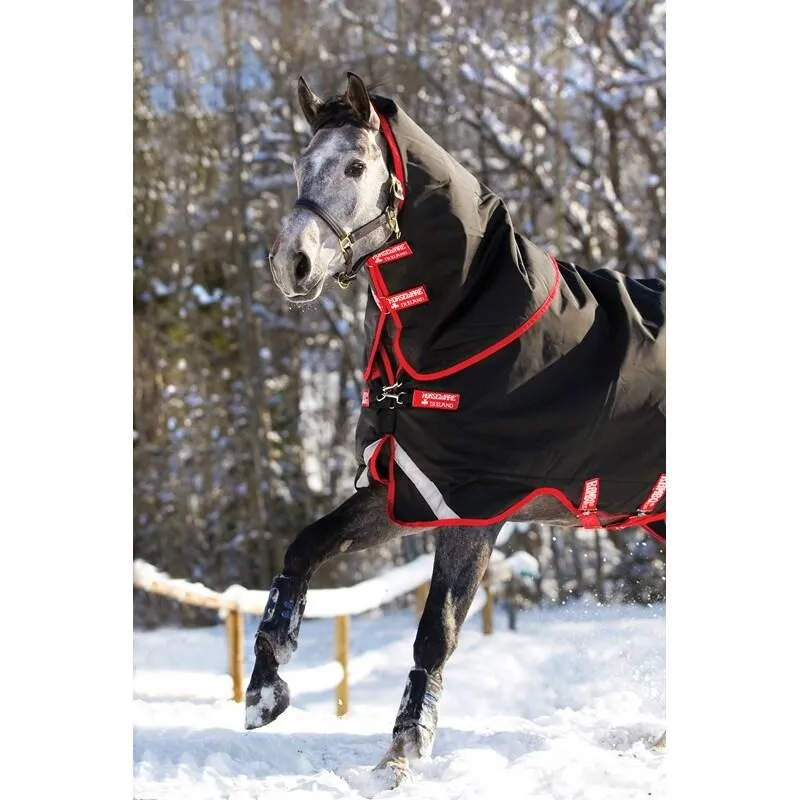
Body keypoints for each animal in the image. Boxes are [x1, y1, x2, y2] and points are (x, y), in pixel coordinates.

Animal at [246, 72, 666, 783]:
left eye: (357, 166)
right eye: (301, 164)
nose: (290, 265)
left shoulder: (473, 509)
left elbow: (436, 630)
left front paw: (401, 753)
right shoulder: (405, 489)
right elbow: (303, 549)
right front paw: (264, 687)